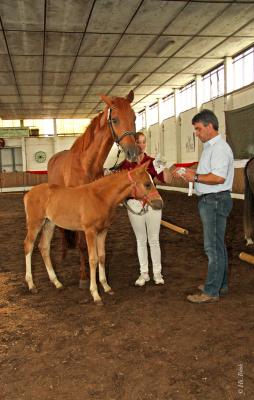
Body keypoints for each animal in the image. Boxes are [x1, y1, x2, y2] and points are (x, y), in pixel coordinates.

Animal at [23, 161, 163, 304]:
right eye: (147, 184)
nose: (160, 203)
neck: (100, 198)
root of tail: (28, 194)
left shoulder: (103, 231)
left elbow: (102, 256)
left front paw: (106, 287)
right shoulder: (90, 231)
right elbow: (93, 259)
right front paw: (95, 294)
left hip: (49, 223)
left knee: (44, 247)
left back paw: (57, 283)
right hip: (35, 223)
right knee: (28, 245)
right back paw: (31, 285)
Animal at [47, 90, 139, 286]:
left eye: (134, 117)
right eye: (115, 120)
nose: (133, 153)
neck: (85, 165)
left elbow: (98, 250)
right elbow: (83, 245)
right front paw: (84, 277)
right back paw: (63, 255)